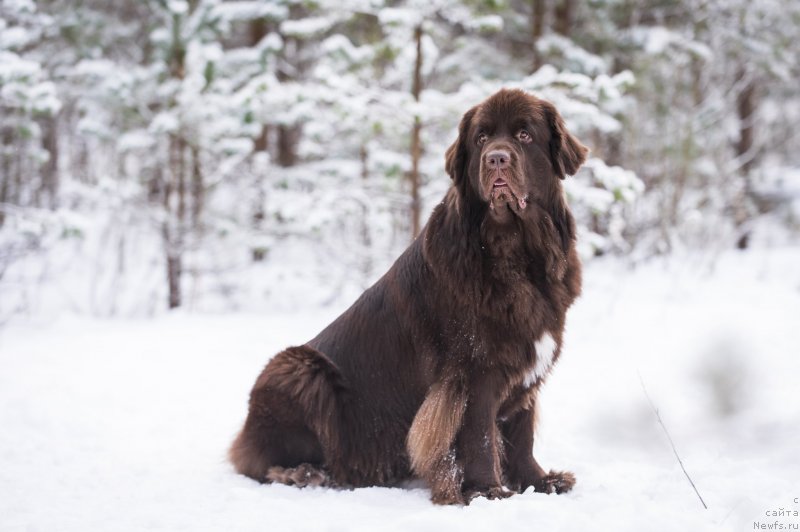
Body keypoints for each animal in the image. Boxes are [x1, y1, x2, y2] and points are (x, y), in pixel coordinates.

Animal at [231, 89, 588, 504]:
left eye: (524, 135)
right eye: (481, 138)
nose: (496, 158)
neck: (517, 250)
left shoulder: (526, 363)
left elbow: (521, 432)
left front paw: (541, 481)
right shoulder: (474, 372)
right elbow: (480, 435)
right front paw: (488, 491)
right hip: (297, 369)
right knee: (263, 463)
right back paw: (303, 474)